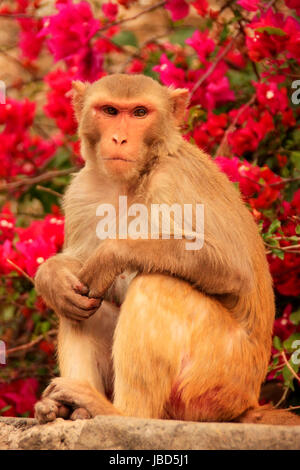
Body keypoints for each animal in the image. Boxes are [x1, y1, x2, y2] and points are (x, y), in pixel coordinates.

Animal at [34, 73, 300, 426]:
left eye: (139, 113)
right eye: (109, 110)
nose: (119, 138)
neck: (130, 182)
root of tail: (246, 403)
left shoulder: (173, 182)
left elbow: (232, 268)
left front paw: (110, 254)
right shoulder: (82, 191)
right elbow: (77, 275)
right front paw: (52, 277)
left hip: (215, 378)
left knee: (158, 282)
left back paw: (118, 412)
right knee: (80, 306)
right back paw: (65, 407)